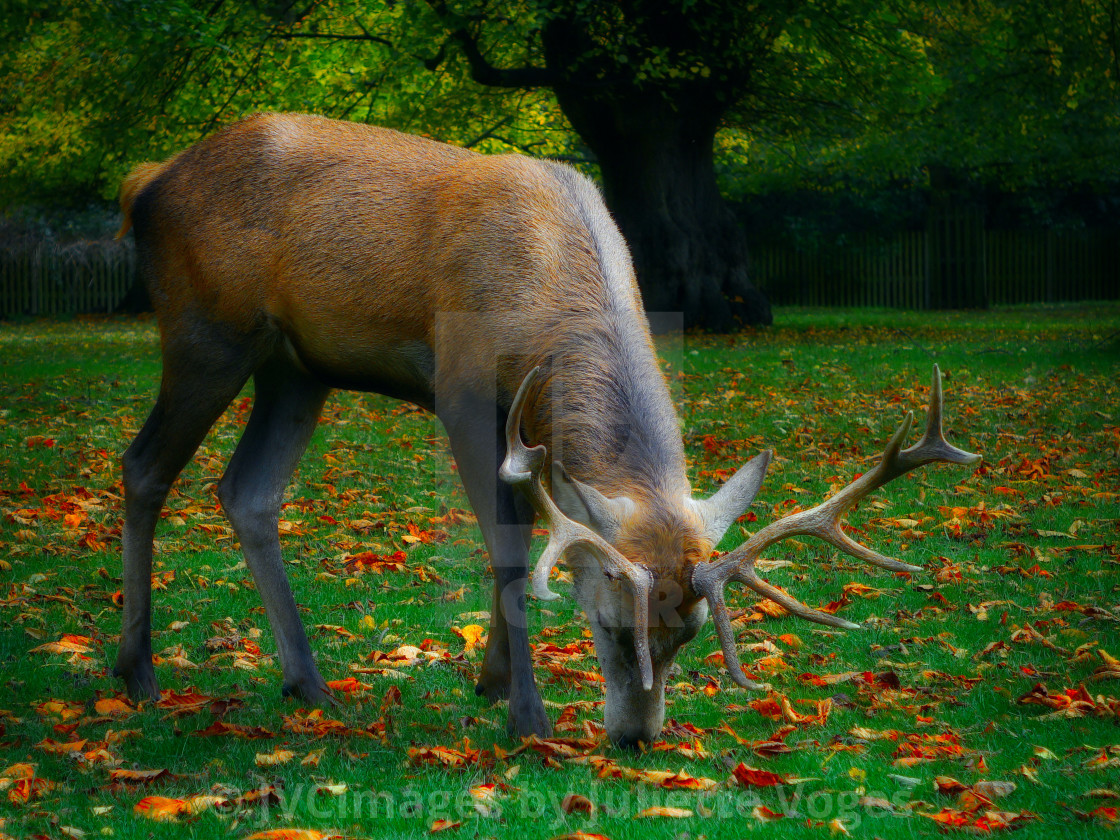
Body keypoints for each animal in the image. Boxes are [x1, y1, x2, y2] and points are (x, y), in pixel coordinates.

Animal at [111, 110, 981, 743]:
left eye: (691, 635)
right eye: (608, 625)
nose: (637, 737)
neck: (539, 292)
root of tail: (144, 184)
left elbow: (530, 526)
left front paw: (492, 680)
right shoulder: (461, 384)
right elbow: (506, 548)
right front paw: (525, 714)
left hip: (296, 367)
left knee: (248, 492)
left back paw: (308, 683)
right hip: (205, 330)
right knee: (143, 466)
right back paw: (138, 672)